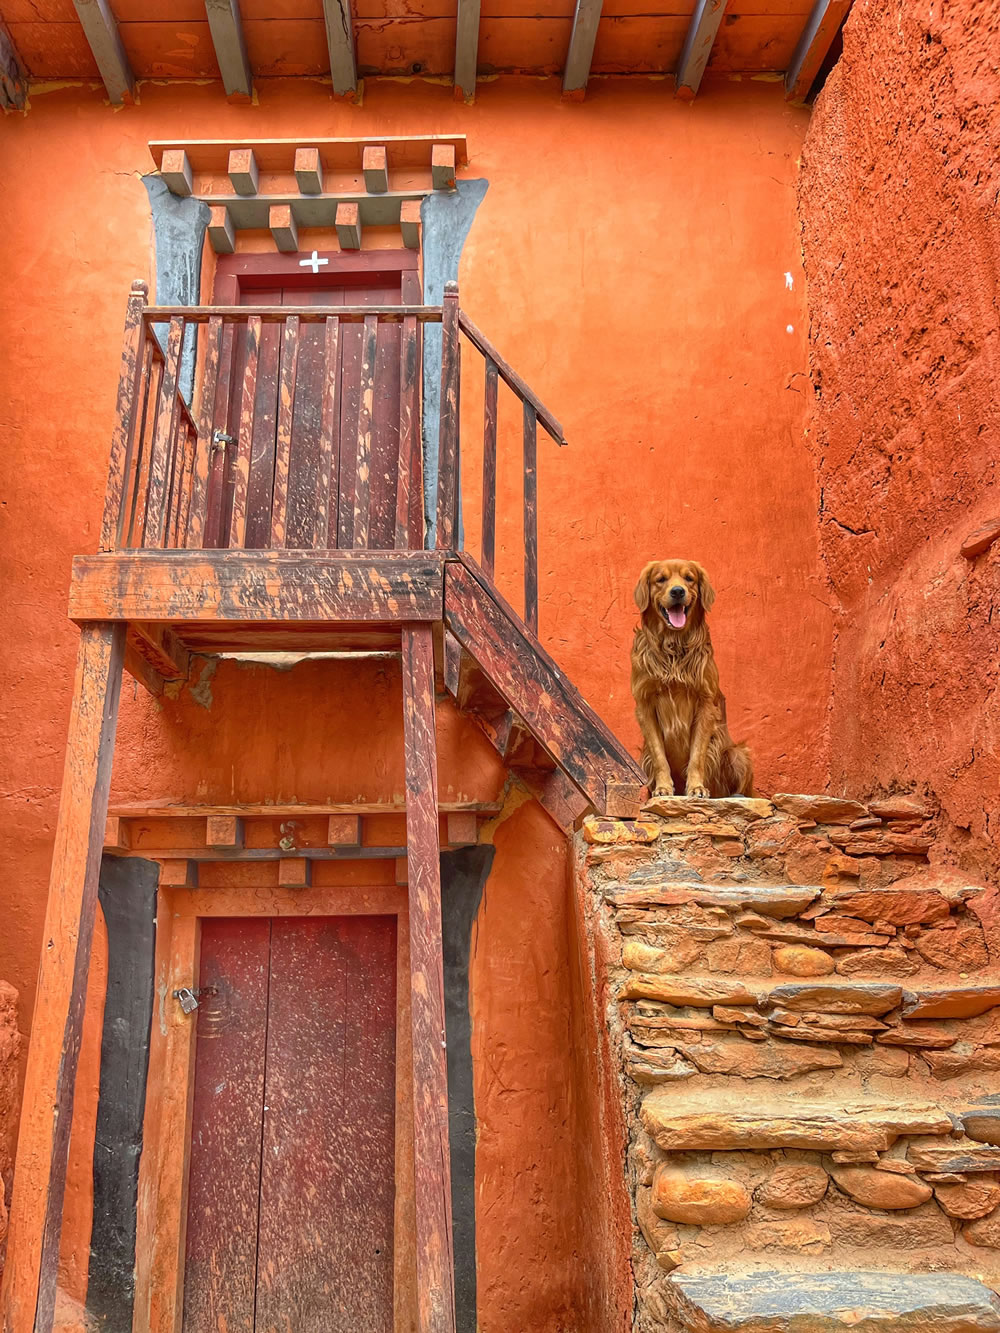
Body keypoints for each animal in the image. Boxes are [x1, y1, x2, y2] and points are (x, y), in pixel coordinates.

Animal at [629, 557, 757, 794]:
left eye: (689, 578)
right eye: (661, 579)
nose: (678, 591)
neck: (673, 646)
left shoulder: (705, 703)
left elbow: (697, 755)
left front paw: (696, 787)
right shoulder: (645, 704)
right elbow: (660, 757)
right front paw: (663, 788)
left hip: (738, 754)